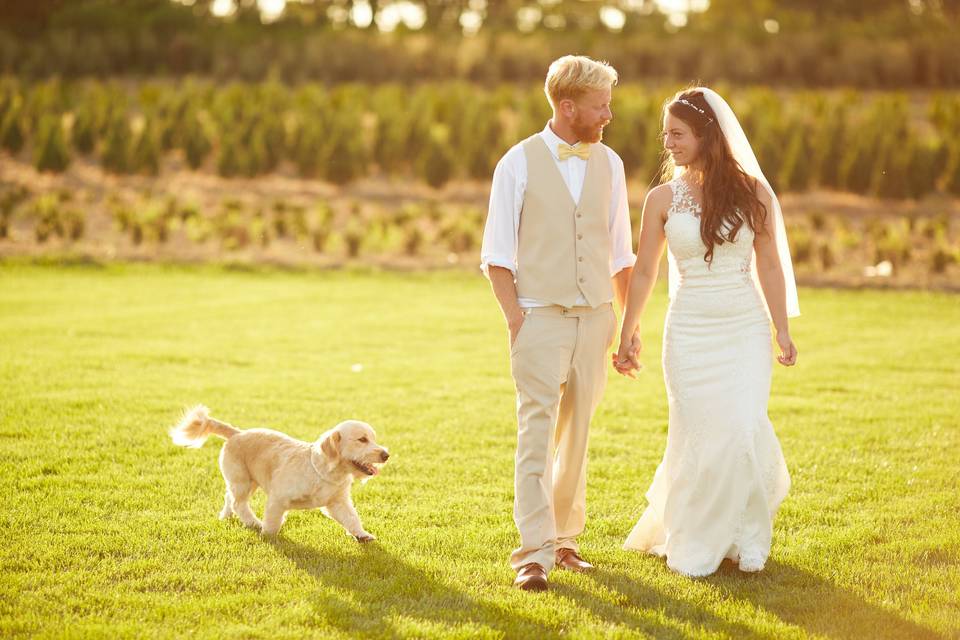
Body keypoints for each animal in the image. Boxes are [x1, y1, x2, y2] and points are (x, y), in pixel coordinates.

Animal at [171, 404, 388, 540]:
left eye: (373, 438)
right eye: (362, 439)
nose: (386, 454)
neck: (322, 472)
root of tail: (237, 433)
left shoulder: (338, 502)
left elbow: (352, 519)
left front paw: (362, 535)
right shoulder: (278, 498)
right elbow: (273, 522)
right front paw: (267, 535)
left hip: (245, 482)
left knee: (229, 498)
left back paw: (226, 516)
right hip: (242, 481)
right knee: (238, 504)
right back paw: (254, 523)